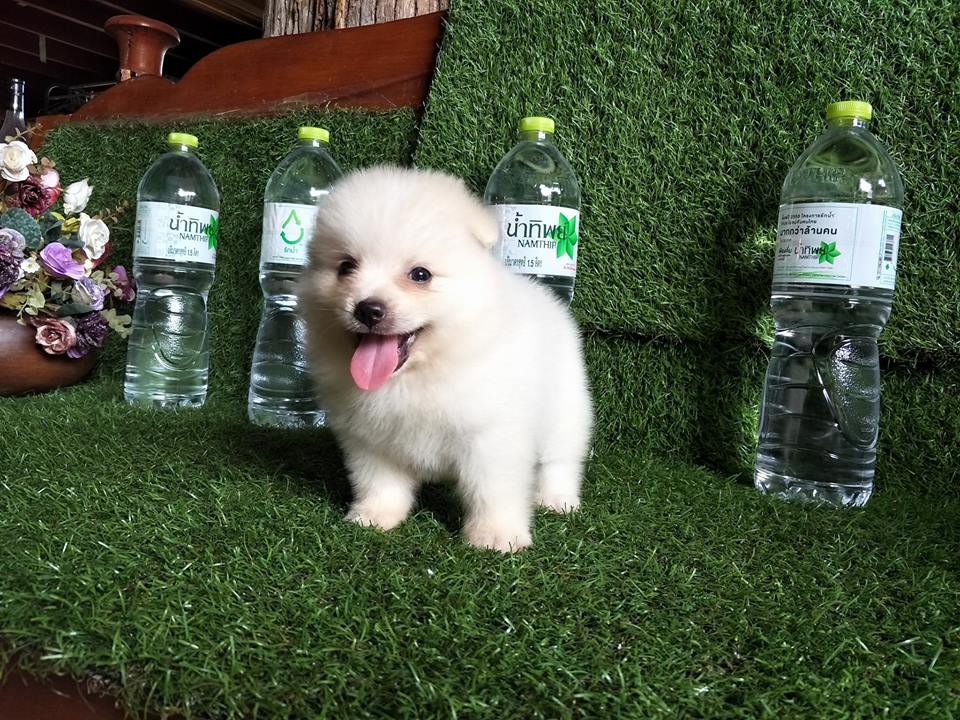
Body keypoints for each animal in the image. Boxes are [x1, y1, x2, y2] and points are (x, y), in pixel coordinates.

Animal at [297, 166, 592, 552]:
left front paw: (496, 535)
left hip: (565, 411)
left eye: (420, 275)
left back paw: (557, 499)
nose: (367, 309)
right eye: (346, 267)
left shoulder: (491, 435)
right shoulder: (369, 437)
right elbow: (379, 481)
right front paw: (374, 516)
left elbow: (492, 490)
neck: (418, 375)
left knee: (560, 460)